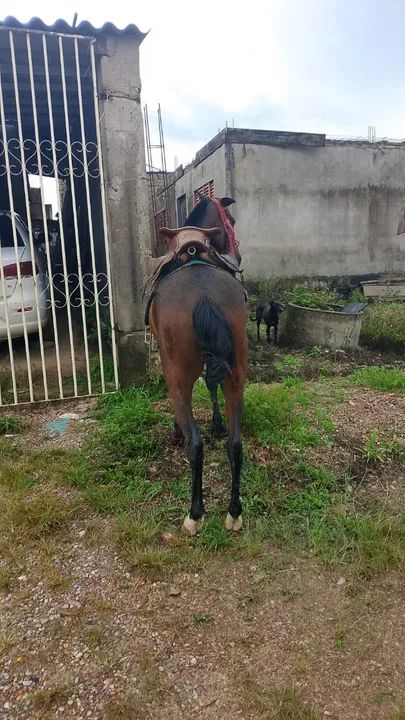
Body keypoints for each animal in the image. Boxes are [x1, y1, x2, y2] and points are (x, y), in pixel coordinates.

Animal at [148, 196, 248, 535]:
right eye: (232, 219)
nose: (237, 255)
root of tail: (203, 294)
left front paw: (177, 430)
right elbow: (213, 383)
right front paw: (217, 422)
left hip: (178, 374)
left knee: (195, 444)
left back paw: (195, 514)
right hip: (238, 372)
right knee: (236, 444)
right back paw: (234, 512)